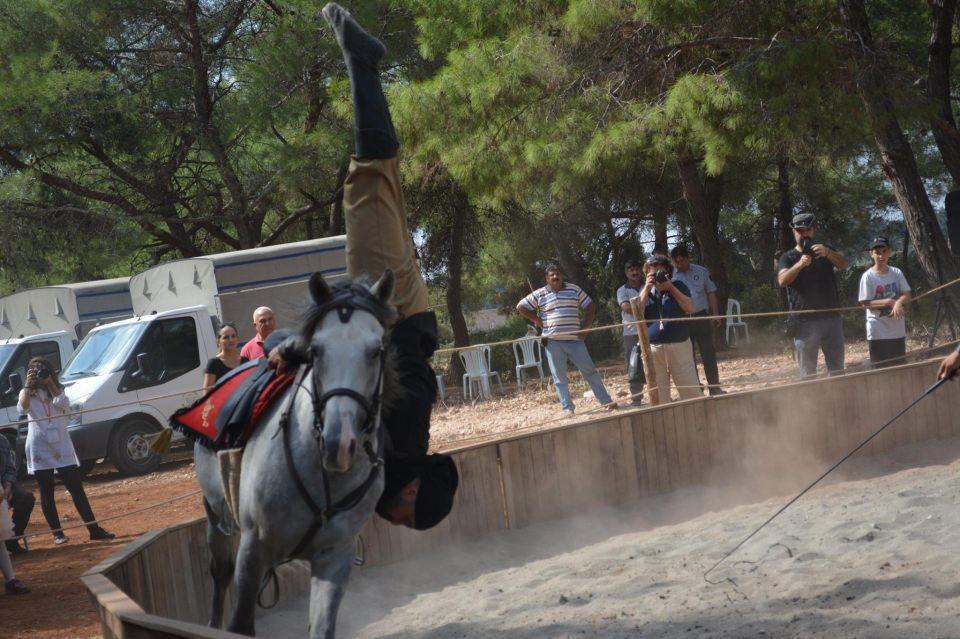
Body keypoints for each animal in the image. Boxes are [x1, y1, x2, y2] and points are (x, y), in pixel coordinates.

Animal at [194, 272, 394, 639]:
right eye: (315, 350)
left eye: (377, 350)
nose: (339, 442)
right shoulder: (252, 550)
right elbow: (240, 623)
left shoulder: (335, 556)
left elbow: (322, 627)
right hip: (215, 511)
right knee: (220, 571)